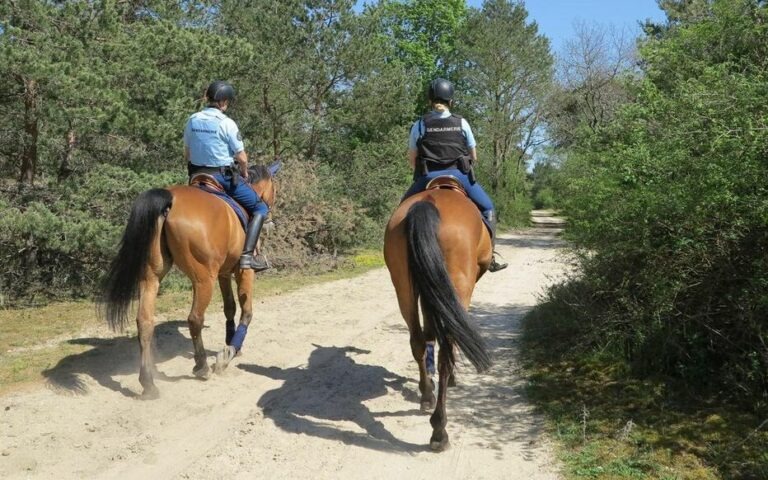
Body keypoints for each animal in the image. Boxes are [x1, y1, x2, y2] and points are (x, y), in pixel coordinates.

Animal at [100, 161, 280, 398]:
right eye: (275, 190)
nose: (270, 220)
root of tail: (171, 199)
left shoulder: (223, 273)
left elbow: (229, 307)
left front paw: (230, 343)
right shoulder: (243, 271)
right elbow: (246, 311)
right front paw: (230, 352)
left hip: (151, 277)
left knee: (145, 321)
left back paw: (148, 382)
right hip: (203, 279)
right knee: (195, 319)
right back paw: (202, 366)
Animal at [382, 178, 492, 452]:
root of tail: (428, 203)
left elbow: (430, 331)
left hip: (404, 287)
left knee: (417, 341)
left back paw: (426, 395)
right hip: (457, 285)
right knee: (446, 349)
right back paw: (439, 430)